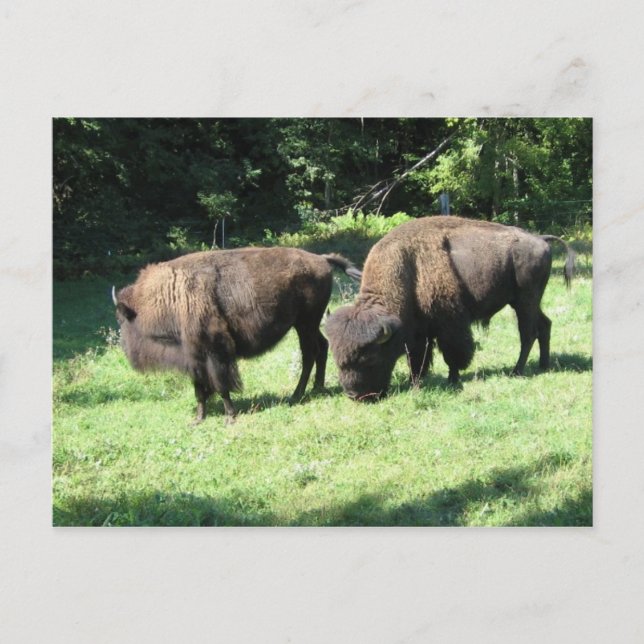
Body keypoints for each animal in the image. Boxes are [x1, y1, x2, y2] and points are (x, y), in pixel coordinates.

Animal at [113, 247, 361, 422]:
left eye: (122, 319)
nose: (125, 348)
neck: (171, 296)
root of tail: (321, 259)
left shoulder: (215, 353)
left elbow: (222, 385)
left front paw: (230, 417)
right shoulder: (194, 358)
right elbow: (199, 390)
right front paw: (198, 419)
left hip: (305, 323)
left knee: (310, 352)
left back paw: (297, 394)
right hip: (307, 324)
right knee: (321, 347)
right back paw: (317, 387)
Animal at [325, 215, 575, 400]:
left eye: (370, 359)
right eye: (336, 359)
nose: (354, 395)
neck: (407, 269)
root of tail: (540, 239)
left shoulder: (449, 323)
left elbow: (453, 353)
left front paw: (452, 379)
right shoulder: (419, 331)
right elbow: (417, 359)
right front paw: (416, 383)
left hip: (525, 301)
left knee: (528, 333)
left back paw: (517, 371)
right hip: (525, 302)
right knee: (545, 325)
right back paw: (543, 365)